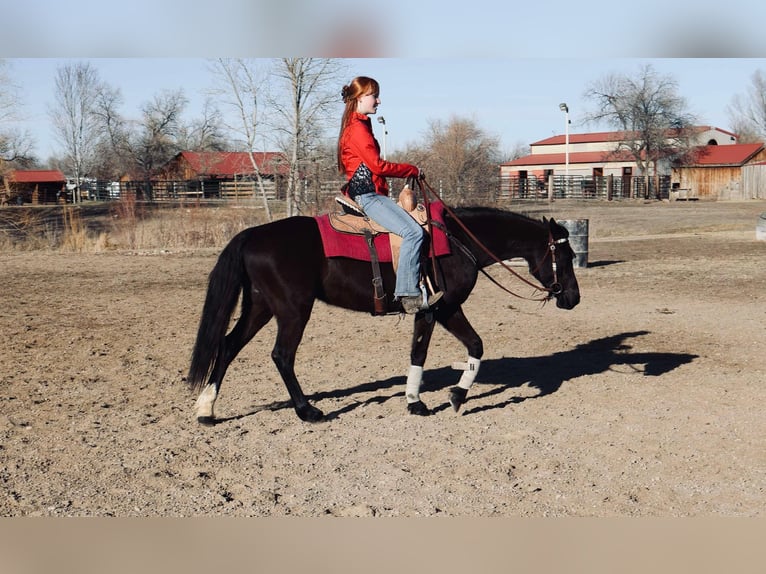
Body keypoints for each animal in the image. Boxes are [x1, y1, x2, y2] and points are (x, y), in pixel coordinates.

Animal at [187, 203, 581, 424]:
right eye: (566, 255)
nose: (573, 298)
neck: (458, 242)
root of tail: (252, 235)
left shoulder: (431, 310)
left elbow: (427, 352)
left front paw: (423, 400)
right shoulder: (445, 307)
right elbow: (468, 346)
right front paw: (450, 397)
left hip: (260, 306)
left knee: (227, 346)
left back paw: (206, 410)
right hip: (293, 309)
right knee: (282, 355)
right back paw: (307, 411)